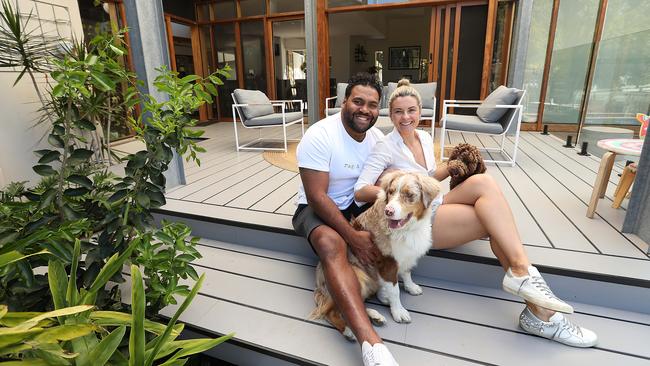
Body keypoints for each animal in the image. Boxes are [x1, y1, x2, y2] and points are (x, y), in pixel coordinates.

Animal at [308, 172, 440, 340]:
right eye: (390, 192)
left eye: (409, 195)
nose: (388, 211)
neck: (407, 229)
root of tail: (318, 281)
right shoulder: (387, 262)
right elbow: (395, 291)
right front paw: (398, 311)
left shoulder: (406, 255)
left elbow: (407, 273)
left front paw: (410, 287)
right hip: (358, 276)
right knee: (335, 309)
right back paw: (348, 330)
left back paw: (375, 315)